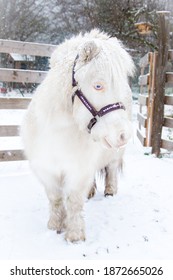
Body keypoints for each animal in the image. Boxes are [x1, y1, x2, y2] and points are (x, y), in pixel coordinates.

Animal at [21, 29, 134, 242]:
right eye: (98, 86)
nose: (124, 136)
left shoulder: (78, 169)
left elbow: (73, 200)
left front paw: (74, 235)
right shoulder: (46, 170)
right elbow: (56, 198)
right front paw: (55, 226)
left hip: (114, 155)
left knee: (112, 169)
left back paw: (110, 192)